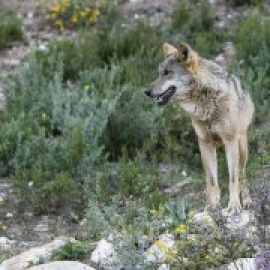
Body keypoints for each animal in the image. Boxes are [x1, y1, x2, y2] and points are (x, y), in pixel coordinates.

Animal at [144, 42, 254, 213]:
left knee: (242, 175)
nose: (147, 92)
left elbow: (233, 179)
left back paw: (247, 201)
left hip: (241, 147)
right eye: (159, 73)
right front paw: (213, 206)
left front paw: (234, 205)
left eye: (168, 73)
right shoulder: (204, 142)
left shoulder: (229, 141)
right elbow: (212, 180)